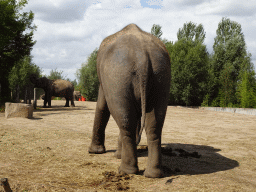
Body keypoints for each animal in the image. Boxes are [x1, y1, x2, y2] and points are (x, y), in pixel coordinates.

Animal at [88, 24, 170, 178]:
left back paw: (125, 171)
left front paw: (95, 152)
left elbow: (102, 105)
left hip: (118, 78)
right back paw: (153, 174)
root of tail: (142, 55)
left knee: (125, 122)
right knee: (154, 124)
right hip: (161, 76)